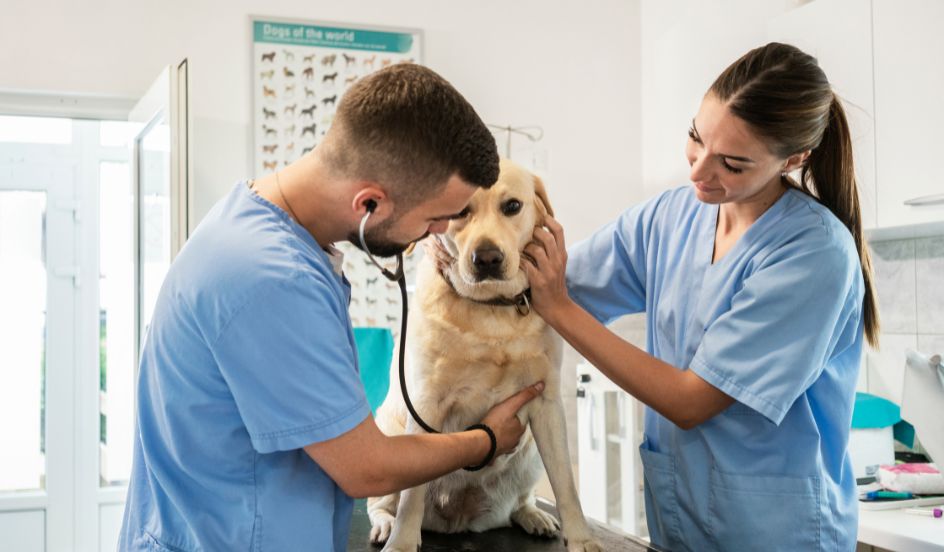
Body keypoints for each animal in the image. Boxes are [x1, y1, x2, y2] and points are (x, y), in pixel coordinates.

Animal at [366, 157, 600, 548]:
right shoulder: (425, 403)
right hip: (389, 443)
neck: (492, 310)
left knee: (521, 499)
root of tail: (456, 521)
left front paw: (581, 538)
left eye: (513, 206)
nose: (487, 258)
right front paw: (401, 543)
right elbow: (411, 497)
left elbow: (566, 484)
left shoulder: (548, 403)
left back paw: (532, 515)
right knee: (383, 502)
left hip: (530, 453)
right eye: (459, 211)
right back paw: (385, 524)